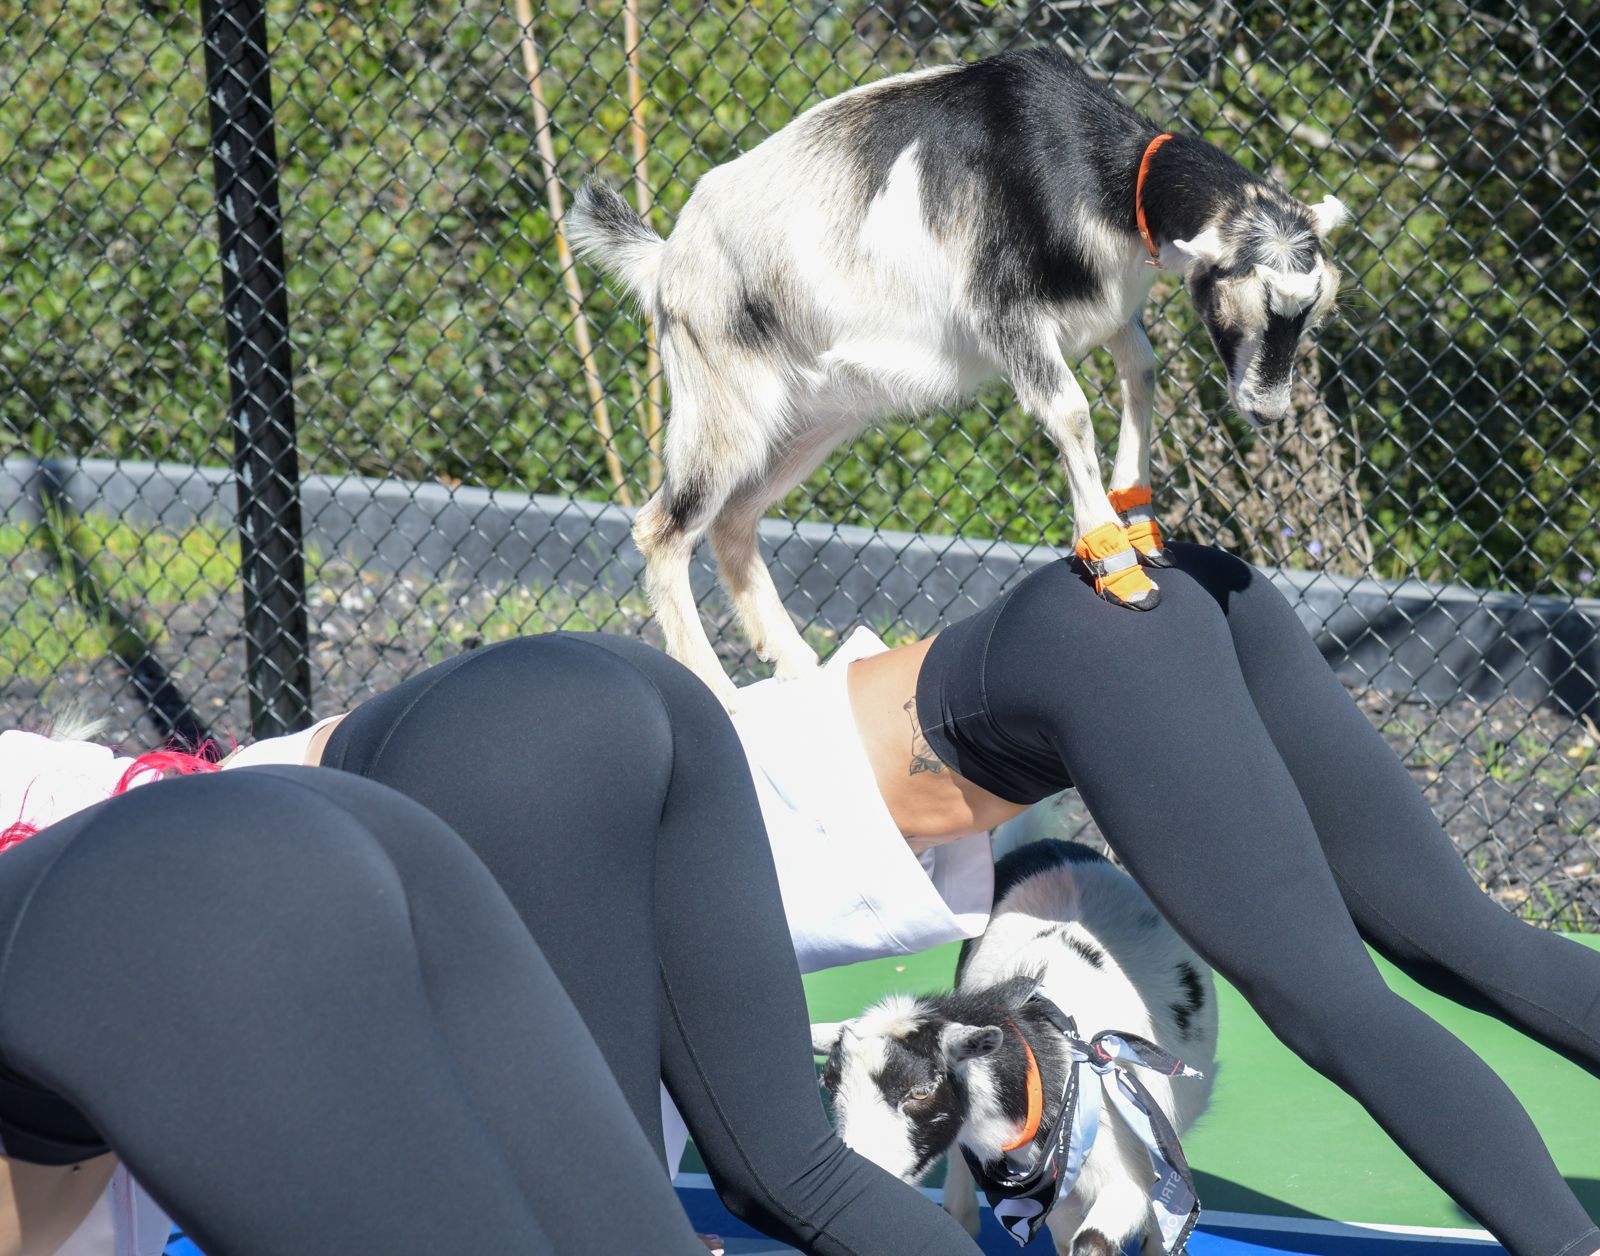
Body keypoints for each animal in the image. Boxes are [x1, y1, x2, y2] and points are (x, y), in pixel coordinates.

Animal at [570, 45, 1349, 707]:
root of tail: (665, 263)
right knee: (663, 528)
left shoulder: (1106, 315)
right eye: (1249, 300)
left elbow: (1144, 372)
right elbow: (1070, 412)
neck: (1099, 173)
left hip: (813, 417)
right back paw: (720, 693)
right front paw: (1115, 566)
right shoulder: (1008, 318)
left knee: (733, 519)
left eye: (1312, 310)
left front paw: (1139, 521)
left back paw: (800, 668)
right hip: (722, 400)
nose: (1267, 409)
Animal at [811, 840, 1217, 1256]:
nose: (860, 1166)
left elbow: (1099, 1237)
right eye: (830, 1086)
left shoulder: (1131, 1175)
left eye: (921, 1091)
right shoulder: (1057, 1198)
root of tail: (1055, 844)